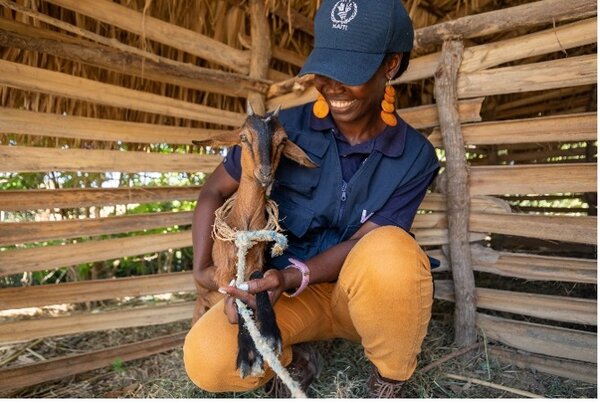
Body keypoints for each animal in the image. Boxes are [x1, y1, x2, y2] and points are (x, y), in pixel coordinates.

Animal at [193, 105, 316, 378]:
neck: (245, 226)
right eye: (243, 138)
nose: (265, 173)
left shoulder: (259, 264)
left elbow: (258, 281)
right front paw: (248, 354)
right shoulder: (222, 274)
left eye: (282, 140)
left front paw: (269, 334)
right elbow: (237, 301)